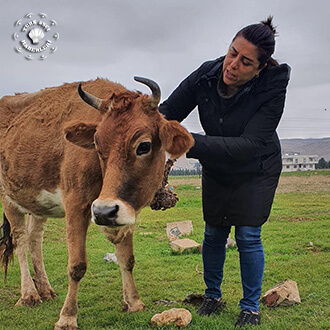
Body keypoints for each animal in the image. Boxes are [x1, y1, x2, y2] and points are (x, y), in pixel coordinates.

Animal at [0, 76, 193, 328]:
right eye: (97, 145)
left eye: (144, 146)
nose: (103, 212)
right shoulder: (76, 205)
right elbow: (77, 265)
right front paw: (67, 316)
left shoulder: (123, 211)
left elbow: (126, 258)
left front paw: (133, 302)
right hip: (8, 197)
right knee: (20, 240)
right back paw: (29, 294)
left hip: (37, 205)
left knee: (35, 239)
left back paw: (45, 289)